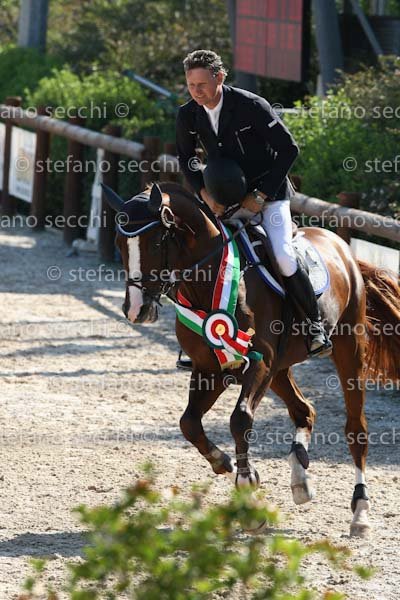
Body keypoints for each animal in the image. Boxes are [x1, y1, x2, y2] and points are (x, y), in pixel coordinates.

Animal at [102, 181, 400, 536]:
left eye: (157, 241)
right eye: (119, 243)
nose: (136, 310)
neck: (209, 282)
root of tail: (340, 246)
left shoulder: (259, 363)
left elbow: (239, 419)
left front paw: (247, 490)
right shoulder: (210, 368)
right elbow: (189, 423)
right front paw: (226, 464)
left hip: (347, 351)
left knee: (356, 429)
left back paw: (360, 512)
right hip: (280, 370)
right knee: (305, 411)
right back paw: (300, 480)